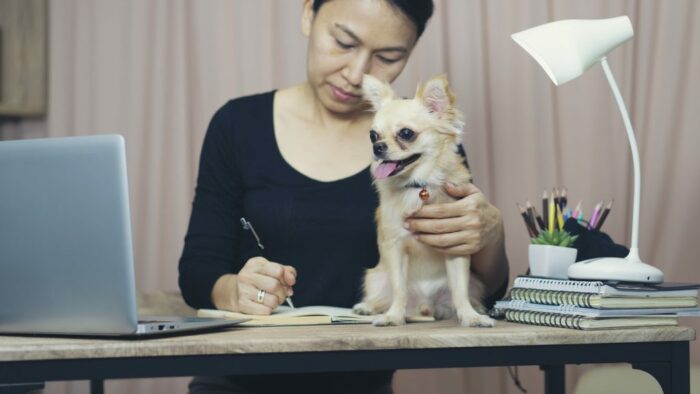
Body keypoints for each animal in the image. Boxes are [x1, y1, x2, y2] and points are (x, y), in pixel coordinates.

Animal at [352, 74, 494, 326]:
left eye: (406, 133)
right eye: (372, 135)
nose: (378, 147)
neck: (419, 186)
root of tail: (425, 306)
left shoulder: (456, 246)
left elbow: (460, 290)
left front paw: (470, 317)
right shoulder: (394, 247)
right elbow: (399, 289)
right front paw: (393, 317)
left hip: (474, 283)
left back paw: (476, 308)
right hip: (375, 277)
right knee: (383, 297)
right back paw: (368, 308)